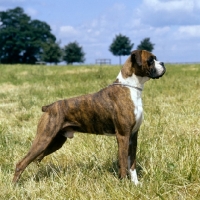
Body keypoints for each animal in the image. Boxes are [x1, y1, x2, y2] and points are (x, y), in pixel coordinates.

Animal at [12, 49, 166, 184]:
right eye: (151, 60)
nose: (163, 63)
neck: (130, 87)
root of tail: (49, 107)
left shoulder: (133, 136)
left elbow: (131, 163)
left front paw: (135, 184)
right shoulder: (123, 135)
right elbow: (123, 162)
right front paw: (124, 184)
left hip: (55, 142)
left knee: (34, 159)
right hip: (44, 139)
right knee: (21, 163)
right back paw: (14, 186)